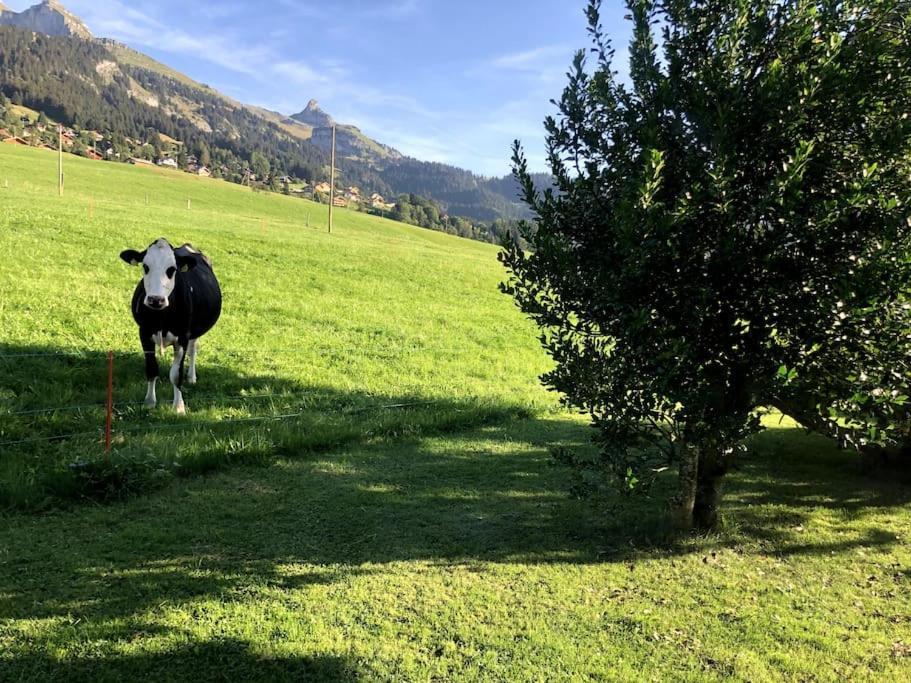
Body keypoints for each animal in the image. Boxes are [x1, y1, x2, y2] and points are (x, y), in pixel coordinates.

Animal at [119, 238, 223, 414]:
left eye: (172, 269)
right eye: (145, 266)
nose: (156, 299)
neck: (161, 318)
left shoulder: (183, 337)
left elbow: (175, 374)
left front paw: (179, 407)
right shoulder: (144, 333)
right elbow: (152, 368)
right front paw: (149, 402)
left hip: (194, 333)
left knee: (193, 351)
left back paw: (192, 377)